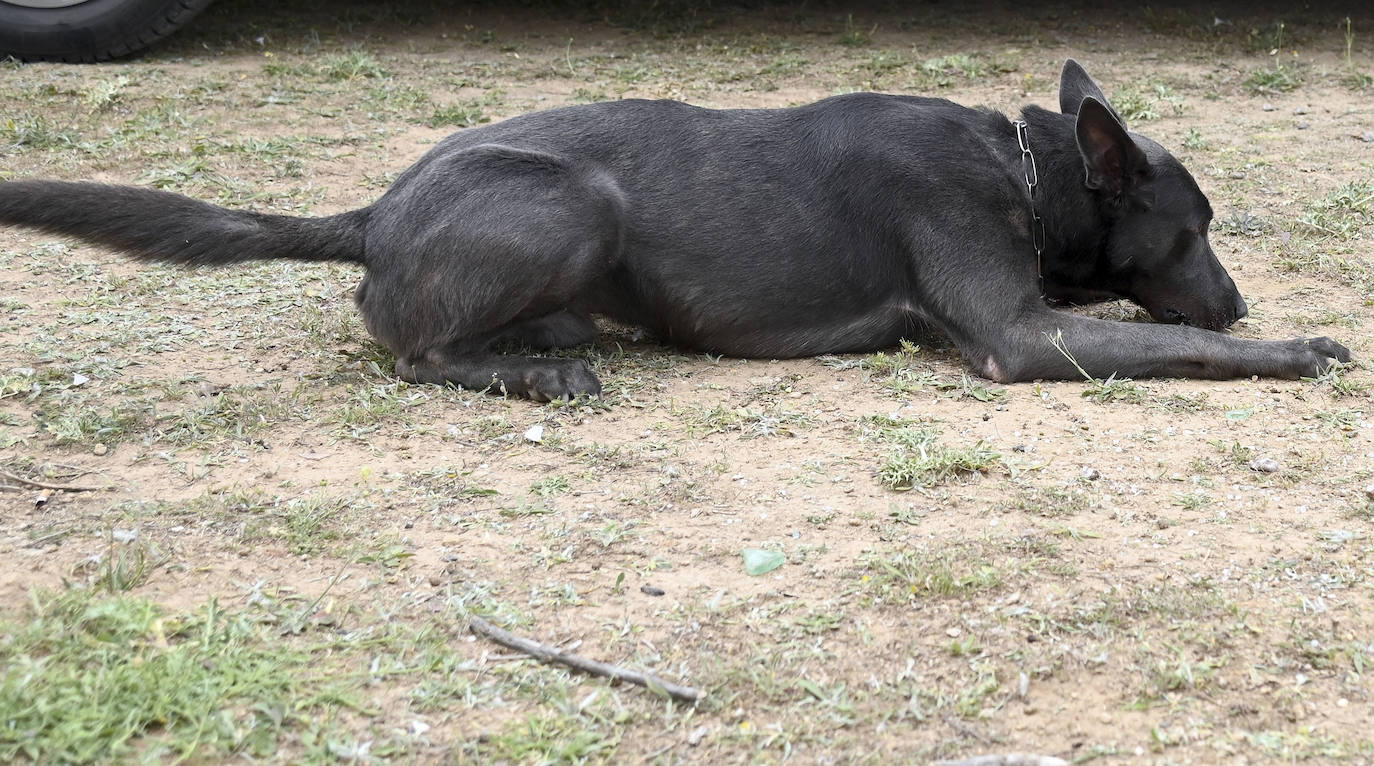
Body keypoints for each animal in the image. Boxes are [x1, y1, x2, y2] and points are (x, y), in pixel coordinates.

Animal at [0, 59, 1352, 401]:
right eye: (1197, 228)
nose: (1242, 297)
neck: (1021, 166)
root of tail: (375, 211)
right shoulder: (1017, 337)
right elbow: (1182, 348)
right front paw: (1290, 350)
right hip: (574, 201)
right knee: (417, 351)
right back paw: (537, 371)